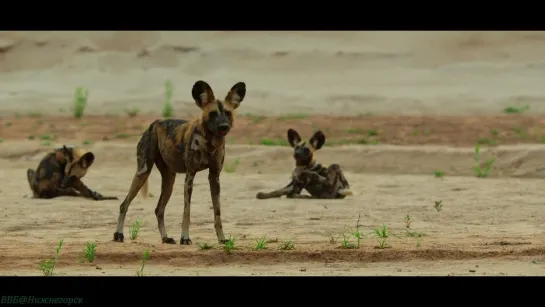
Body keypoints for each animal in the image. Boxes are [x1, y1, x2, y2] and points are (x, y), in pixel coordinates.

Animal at [113, 79, 248, 245]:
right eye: (212, 114)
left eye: (228, 113)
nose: (224, 126)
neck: (210, 143)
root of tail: (153, 124)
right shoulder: (190, 175)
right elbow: (187, 212)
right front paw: (185, 237)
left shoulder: (214, 177)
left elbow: (217, 213)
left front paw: (222, 238)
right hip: (142, 173)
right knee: (124, 204)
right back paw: (118, 234)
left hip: (169, 181)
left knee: (159, 209)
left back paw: (165, 237)